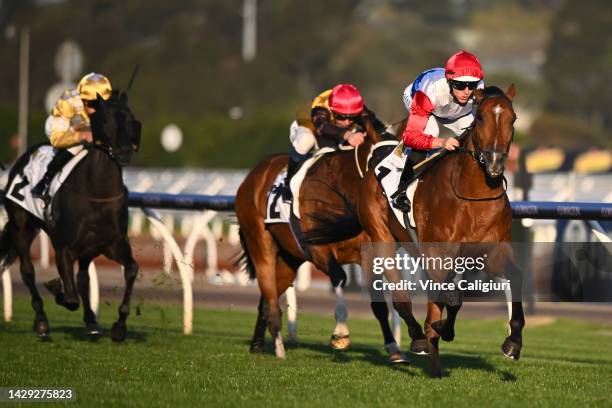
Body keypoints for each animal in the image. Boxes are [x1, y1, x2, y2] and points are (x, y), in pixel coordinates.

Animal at [0, 91, 141, 342]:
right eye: (105, 119)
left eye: (130, 119)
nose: (124, 151)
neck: (96, 193)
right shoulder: (63, 248)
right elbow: (70, 297)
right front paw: (56, 289)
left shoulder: (113, 244)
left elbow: (131, 270)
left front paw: (119, 326)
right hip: (21, 226)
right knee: (27, 271)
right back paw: (41, 321)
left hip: (87, 249)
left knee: (83, 279)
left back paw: (91, 321)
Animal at [237, 114, 418, 360]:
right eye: (380, 163)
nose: (400, 197)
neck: (340, 192)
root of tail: (253, 174)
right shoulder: (318, 250)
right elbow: (340, 278)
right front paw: (340, 334)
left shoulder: (369, 253)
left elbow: (379, 304)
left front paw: (393, 349)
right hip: (260, 242)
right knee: (270, 296)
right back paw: (279, 348)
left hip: (289, 258)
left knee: (267, 297)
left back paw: (257, 344)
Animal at [358, 84, 524, 378]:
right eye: (481, 117)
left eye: (512, 118)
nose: (494, 162)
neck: (473, 197)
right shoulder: (438, 254)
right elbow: (452, 299)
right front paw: (440, 329)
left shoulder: (492, 253)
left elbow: (515, 278)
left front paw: (513, 342)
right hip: (382, 238)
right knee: (401, 298)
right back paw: (418, 339)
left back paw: (434, 362)